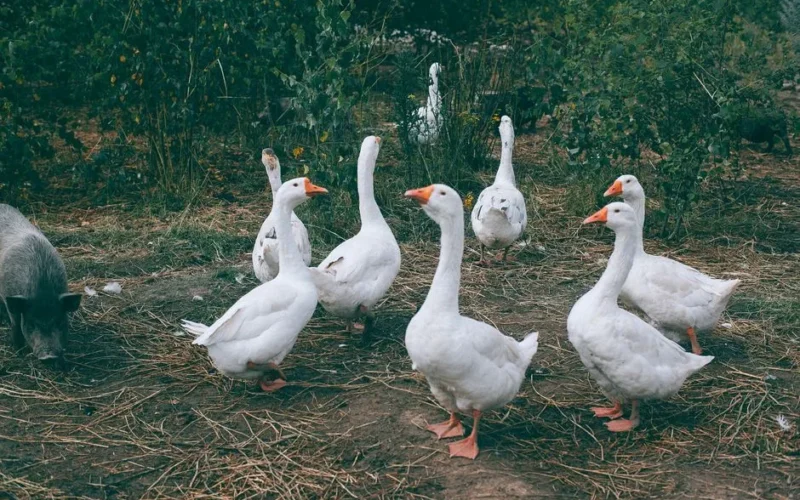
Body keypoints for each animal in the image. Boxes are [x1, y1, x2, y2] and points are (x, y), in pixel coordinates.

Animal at [0, 204, 81, 367]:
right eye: (31, 325)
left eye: (59, 322)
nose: (49, 356)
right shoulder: (8, 295)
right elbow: (16, 324)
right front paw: (19, 351)